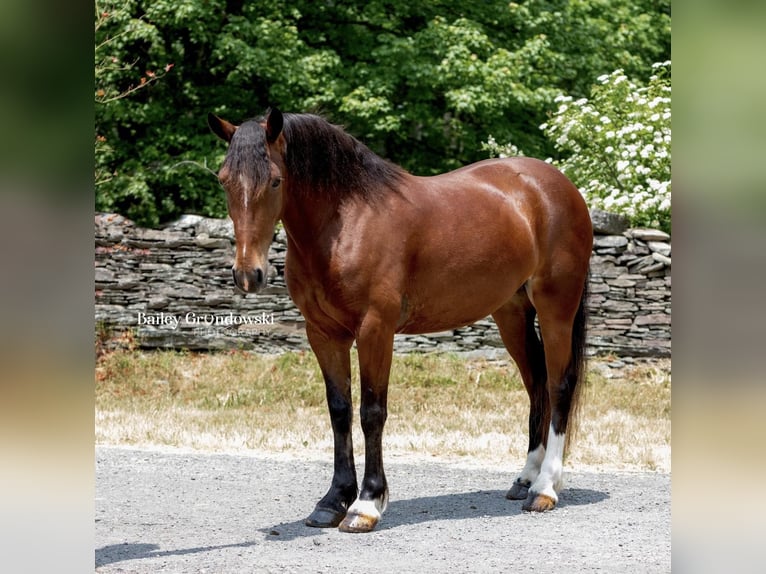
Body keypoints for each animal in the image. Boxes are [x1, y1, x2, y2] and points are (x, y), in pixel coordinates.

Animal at [208, 109, 592, 536]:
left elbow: (372, 413)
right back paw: (526, 478)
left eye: (275, 180)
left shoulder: (376, 330)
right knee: (536, 383)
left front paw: (366, 504)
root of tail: (558, 186)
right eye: (223, 179)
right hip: (511, 313)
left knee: (559, 385)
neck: (346, 222)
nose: (248, 274)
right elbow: (339, 411)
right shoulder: (323, 333)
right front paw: (333, 501)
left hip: (556, 308)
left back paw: (545, 488)